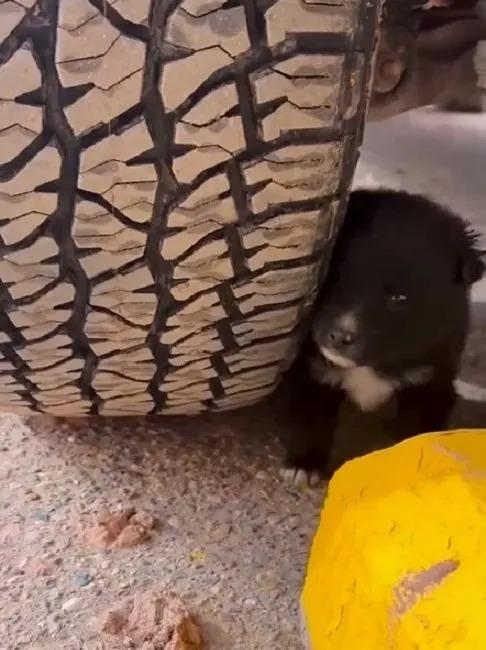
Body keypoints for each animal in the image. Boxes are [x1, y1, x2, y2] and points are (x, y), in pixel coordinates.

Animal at [276, 187, 484, 486]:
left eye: (399, 299)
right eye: (336, 278)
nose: (339, 336)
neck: (372, 364)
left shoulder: (431, 377)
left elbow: (417, 430)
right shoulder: (310, 370)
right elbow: (309, 419)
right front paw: (303, 466)